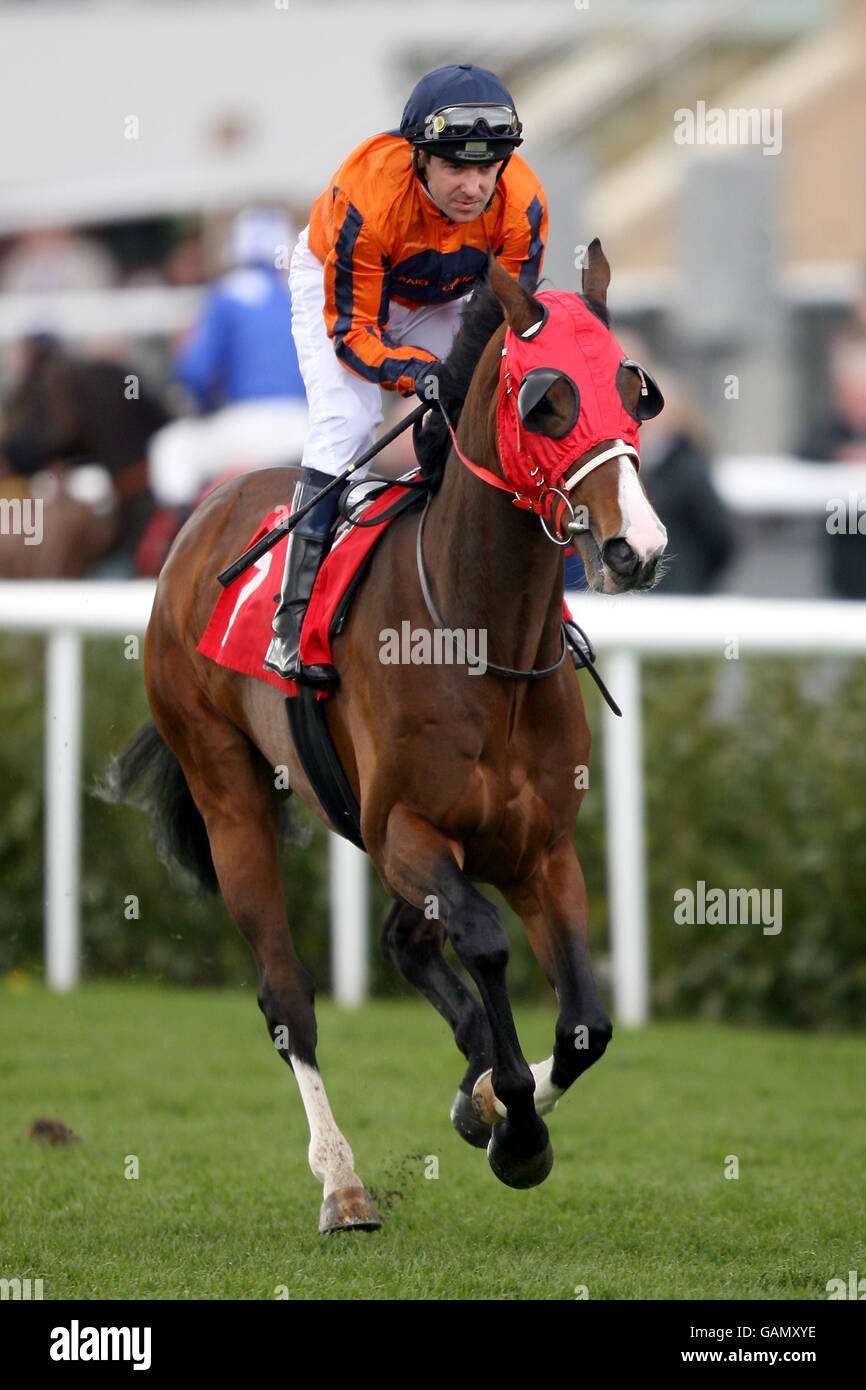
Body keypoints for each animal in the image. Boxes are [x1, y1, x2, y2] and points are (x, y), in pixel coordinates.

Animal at [104, 244, 667, 1234]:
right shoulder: (406, 827)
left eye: (635, 391)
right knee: (288, 996)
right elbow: (484, 941)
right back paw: (344, 1183)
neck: (481, 636)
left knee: (404, 942)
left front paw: (492, 1100)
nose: (637, 546)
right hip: (230, 794)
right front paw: (515, 1123)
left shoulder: (543, 848)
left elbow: (587, 1025)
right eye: (547, 401)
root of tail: (208, 508)